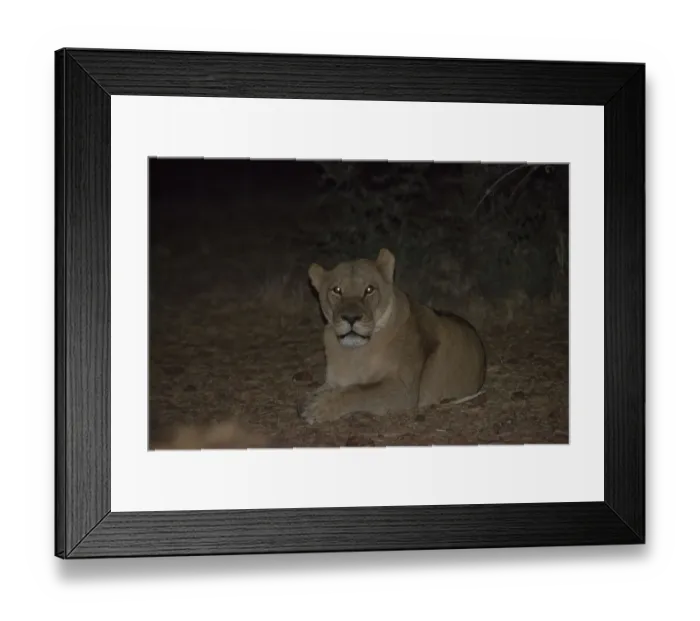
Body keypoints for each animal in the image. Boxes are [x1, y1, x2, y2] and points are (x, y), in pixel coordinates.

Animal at [300, 248, 486, 424]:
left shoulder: (403, 390)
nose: (351, 318)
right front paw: (311, 399)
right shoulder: (333, 381)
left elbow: (358, 390)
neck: (353, 353)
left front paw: (320, 407)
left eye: (369, 289)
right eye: (337, 290)